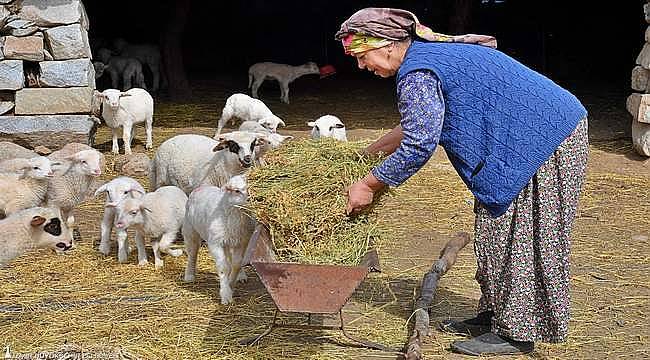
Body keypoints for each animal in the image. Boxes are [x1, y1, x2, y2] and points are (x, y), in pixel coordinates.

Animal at [182, 174, 256, 304]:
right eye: (237, 191)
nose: (252, 200)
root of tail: (201, 187)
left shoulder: (241, 241)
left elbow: (236, 263)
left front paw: (231, 284)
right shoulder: (215, 244)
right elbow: (223, 268)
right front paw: (226, 294)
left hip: (229, 240)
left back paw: (241, 275)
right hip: (190, 231)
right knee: (192, 253)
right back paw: (189, 276)